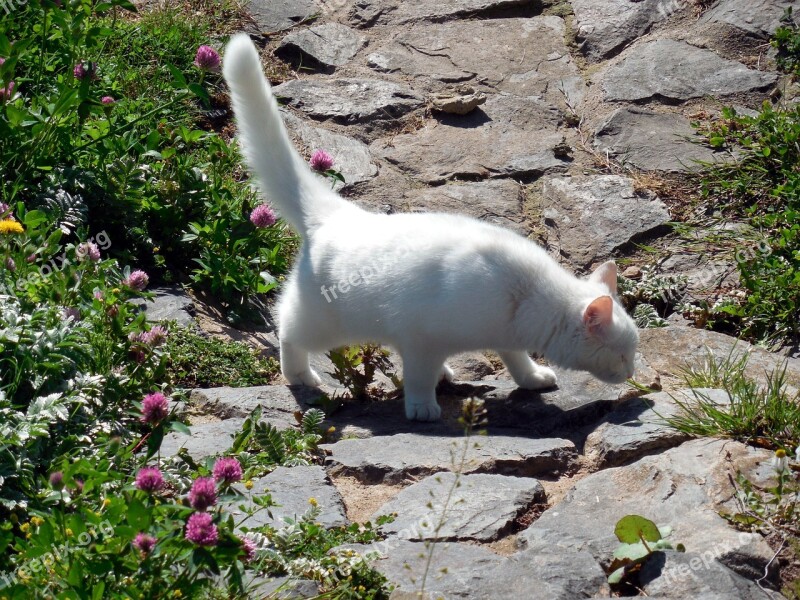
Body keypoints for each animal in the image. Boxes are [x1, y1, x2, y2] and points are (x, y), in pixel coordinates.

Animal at [222, 35, 640, 422]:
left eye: (632, 354)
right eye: (622, 356)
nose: (632, 373)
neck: (527, 298)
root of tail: (339, 213)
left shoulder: (500, 337)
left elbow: (515, 359)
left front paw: (533, 377)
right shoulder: (421, 340)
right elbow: (419, 376)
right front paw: (423, 407)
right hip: (322, 321)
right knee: (286, 327)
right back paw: (300, 374)